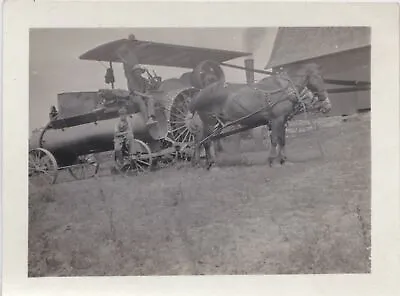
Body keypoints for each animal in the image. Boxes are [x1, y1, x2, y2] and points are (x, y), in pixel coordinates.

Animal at [187, 62, 332, 169]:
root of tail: (198, 94)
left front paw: (283, 160)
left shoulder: (282, 120)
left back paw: (204, 162)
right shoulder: (276, 119)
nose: (326, 104)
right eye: (317, 77)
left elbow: (282, 140)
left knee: (202, 141)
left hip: (217, 124)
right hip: (210, 123)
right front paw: (272, 160)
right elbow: (275, 140)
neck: (284, 89)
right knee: (206, 142)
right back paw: (211, 165)